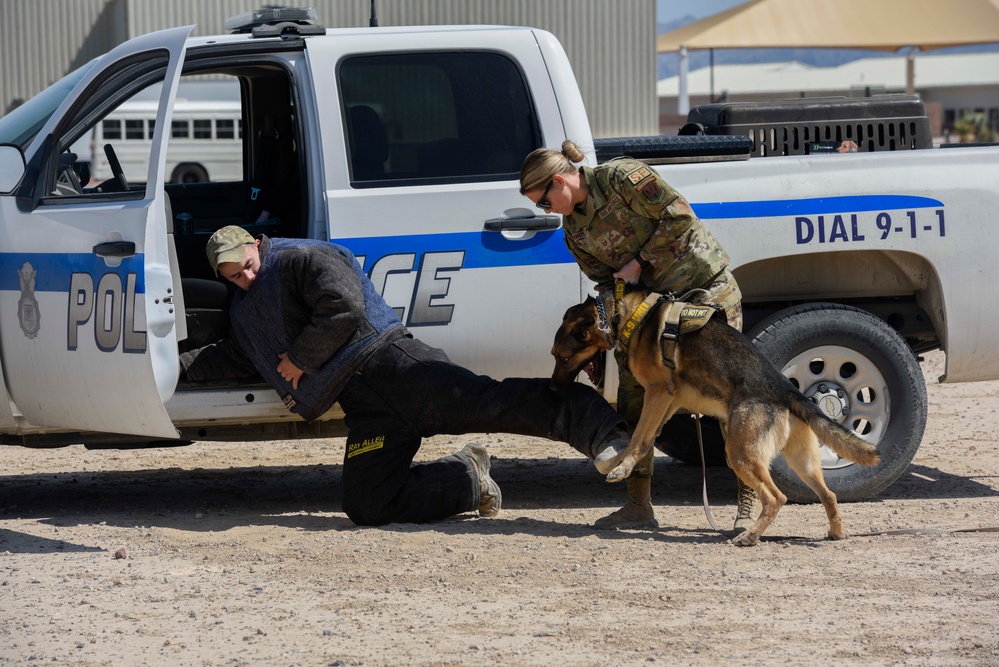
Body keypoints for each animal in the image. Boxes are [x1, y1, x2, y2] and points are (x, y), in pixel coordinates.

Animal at [552, 288, 880, 548]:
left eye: (562, 358)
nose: (554, 389)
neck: (630, 315)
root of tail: (786, 390)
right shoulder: (669, 400)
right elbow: (646, 435)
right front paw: (624, 461)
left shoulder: (657, 392)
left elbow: (640, 437)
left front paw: (622, 467)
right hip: (802, 461)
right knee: (830, 494)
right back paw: (836, 532)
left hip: (739, 453)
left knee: (776, 498)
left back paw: (750, 536)